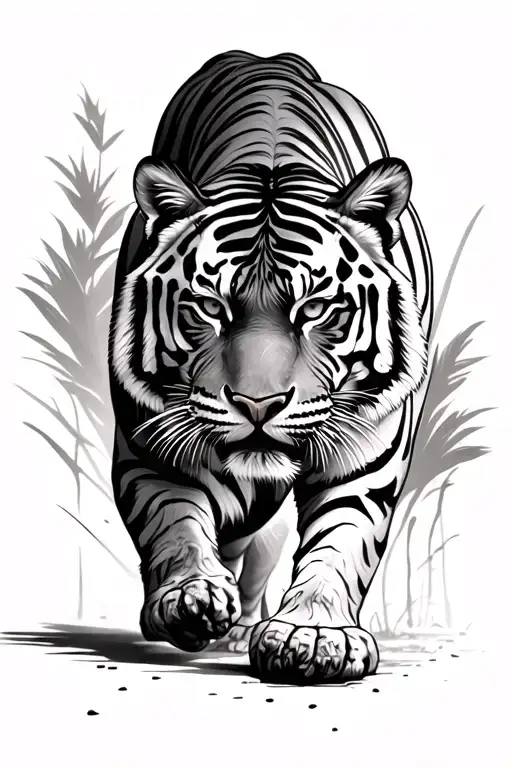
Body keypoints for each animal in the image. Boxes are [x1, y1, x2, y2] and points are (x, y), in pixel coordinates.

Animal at [108, 50, 432, 684]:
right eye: (211, 306)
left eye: (315, 309)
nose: (257, 405)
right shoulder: (148, 443)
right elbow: (175, 518)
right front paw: (190, 597)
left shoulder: (369, 454)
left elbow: (342, 540)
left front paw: (316, 634)